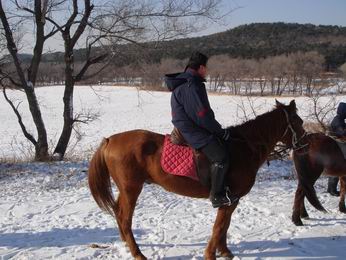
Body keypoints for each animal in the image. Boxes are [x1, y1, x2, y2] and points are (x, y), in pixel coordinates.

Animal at [88, 100, 304, 260]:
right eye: (298, 121)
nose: (304, 143)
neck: (243, 147)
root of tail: (110, 140)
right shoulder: (228, 198)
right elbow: (219, 227)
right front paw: (210, 254)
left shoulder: (232, 200)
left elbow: (225, 225)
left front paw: (225, 251)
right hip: (131, 189)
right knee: (125, 218)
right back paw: (138, 253)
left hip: (126, 190)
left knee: (118, 213)